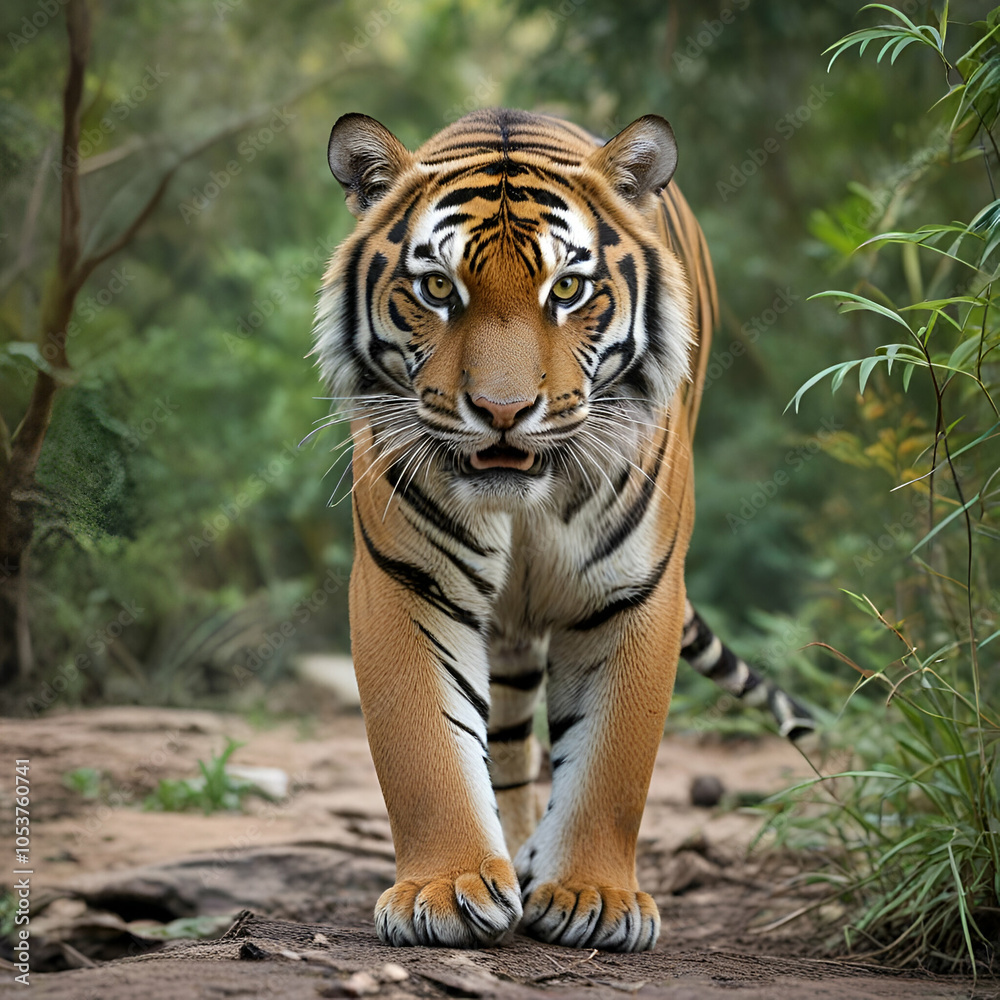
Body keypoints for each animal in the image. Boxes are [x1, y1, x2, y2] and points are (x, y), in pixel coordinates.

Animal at [313, 108, 812, 952]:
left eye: (568, 289)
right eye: (438, 287)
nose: (504, 411)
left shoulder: (632, 591)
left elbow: (612, 762)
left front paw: (591, 897)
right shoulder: (408, 581)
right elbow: (425, 747)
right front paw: (446, 886)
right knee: (508, 742)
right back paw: (508, 856)